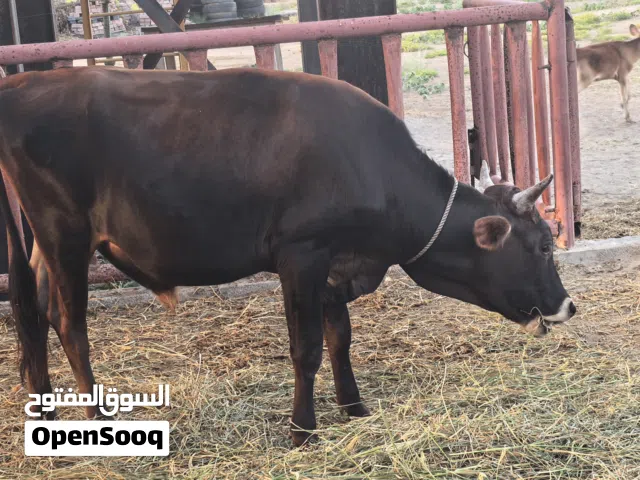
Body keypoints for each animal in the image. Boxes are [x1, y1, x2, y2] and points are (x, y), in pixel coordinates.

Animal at [0, 66, 575, 447]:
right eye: (543, 245)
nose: (567, 305)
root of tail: (22, 86)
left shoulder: (337, 264)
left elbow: (340, 339)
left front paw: (354, 407)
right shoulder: (303, 255)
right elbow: (307, 348)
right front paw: (303, 430)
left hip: (49, 244)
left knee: (36, 311)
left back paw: (44, 408)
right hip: (64, 232)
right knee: (70, 324)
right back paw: (96, 420)